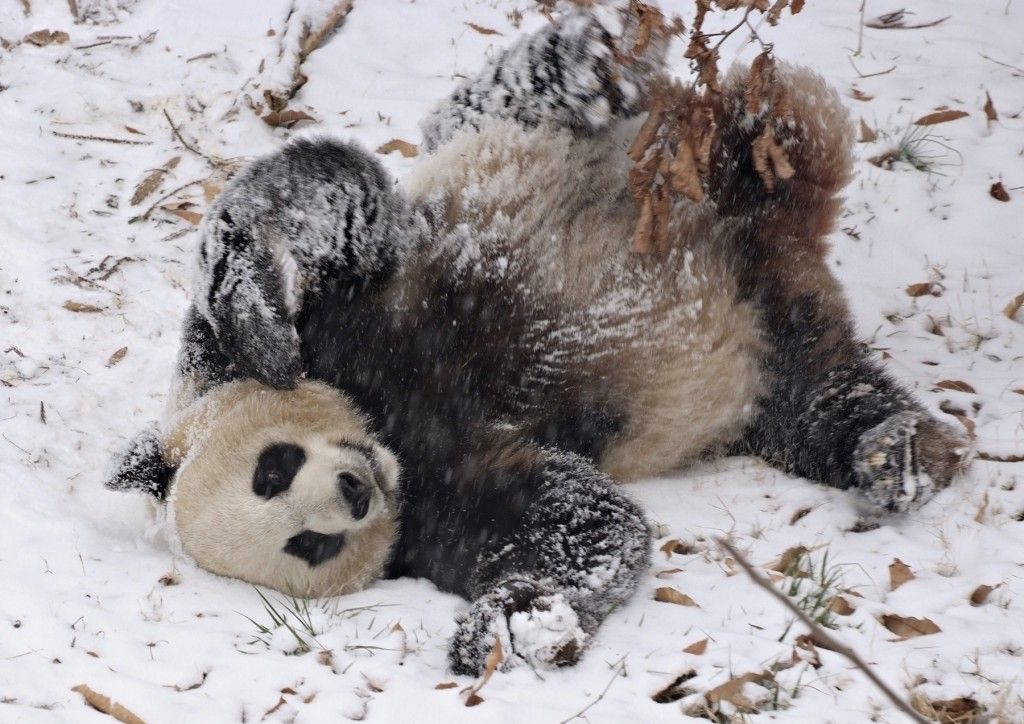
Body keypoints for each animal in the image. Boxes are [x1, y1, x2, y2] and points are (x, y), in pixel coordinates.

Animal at [108, 8, 970, 675]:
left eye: (273, 467)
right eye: (307, 543)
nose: (354, 492)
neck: (386, 419)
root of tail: (768, 234)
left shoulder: (349, 308)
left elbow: (313, 207)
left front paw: (259, 322)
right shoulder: (439, 503)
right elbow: (582, 524)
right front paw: (516, 624)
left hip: (599, 161)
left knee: (508, 106)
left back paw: (609, 59)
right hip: (774, 358)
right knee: (822, 398)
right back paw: (895, 451)